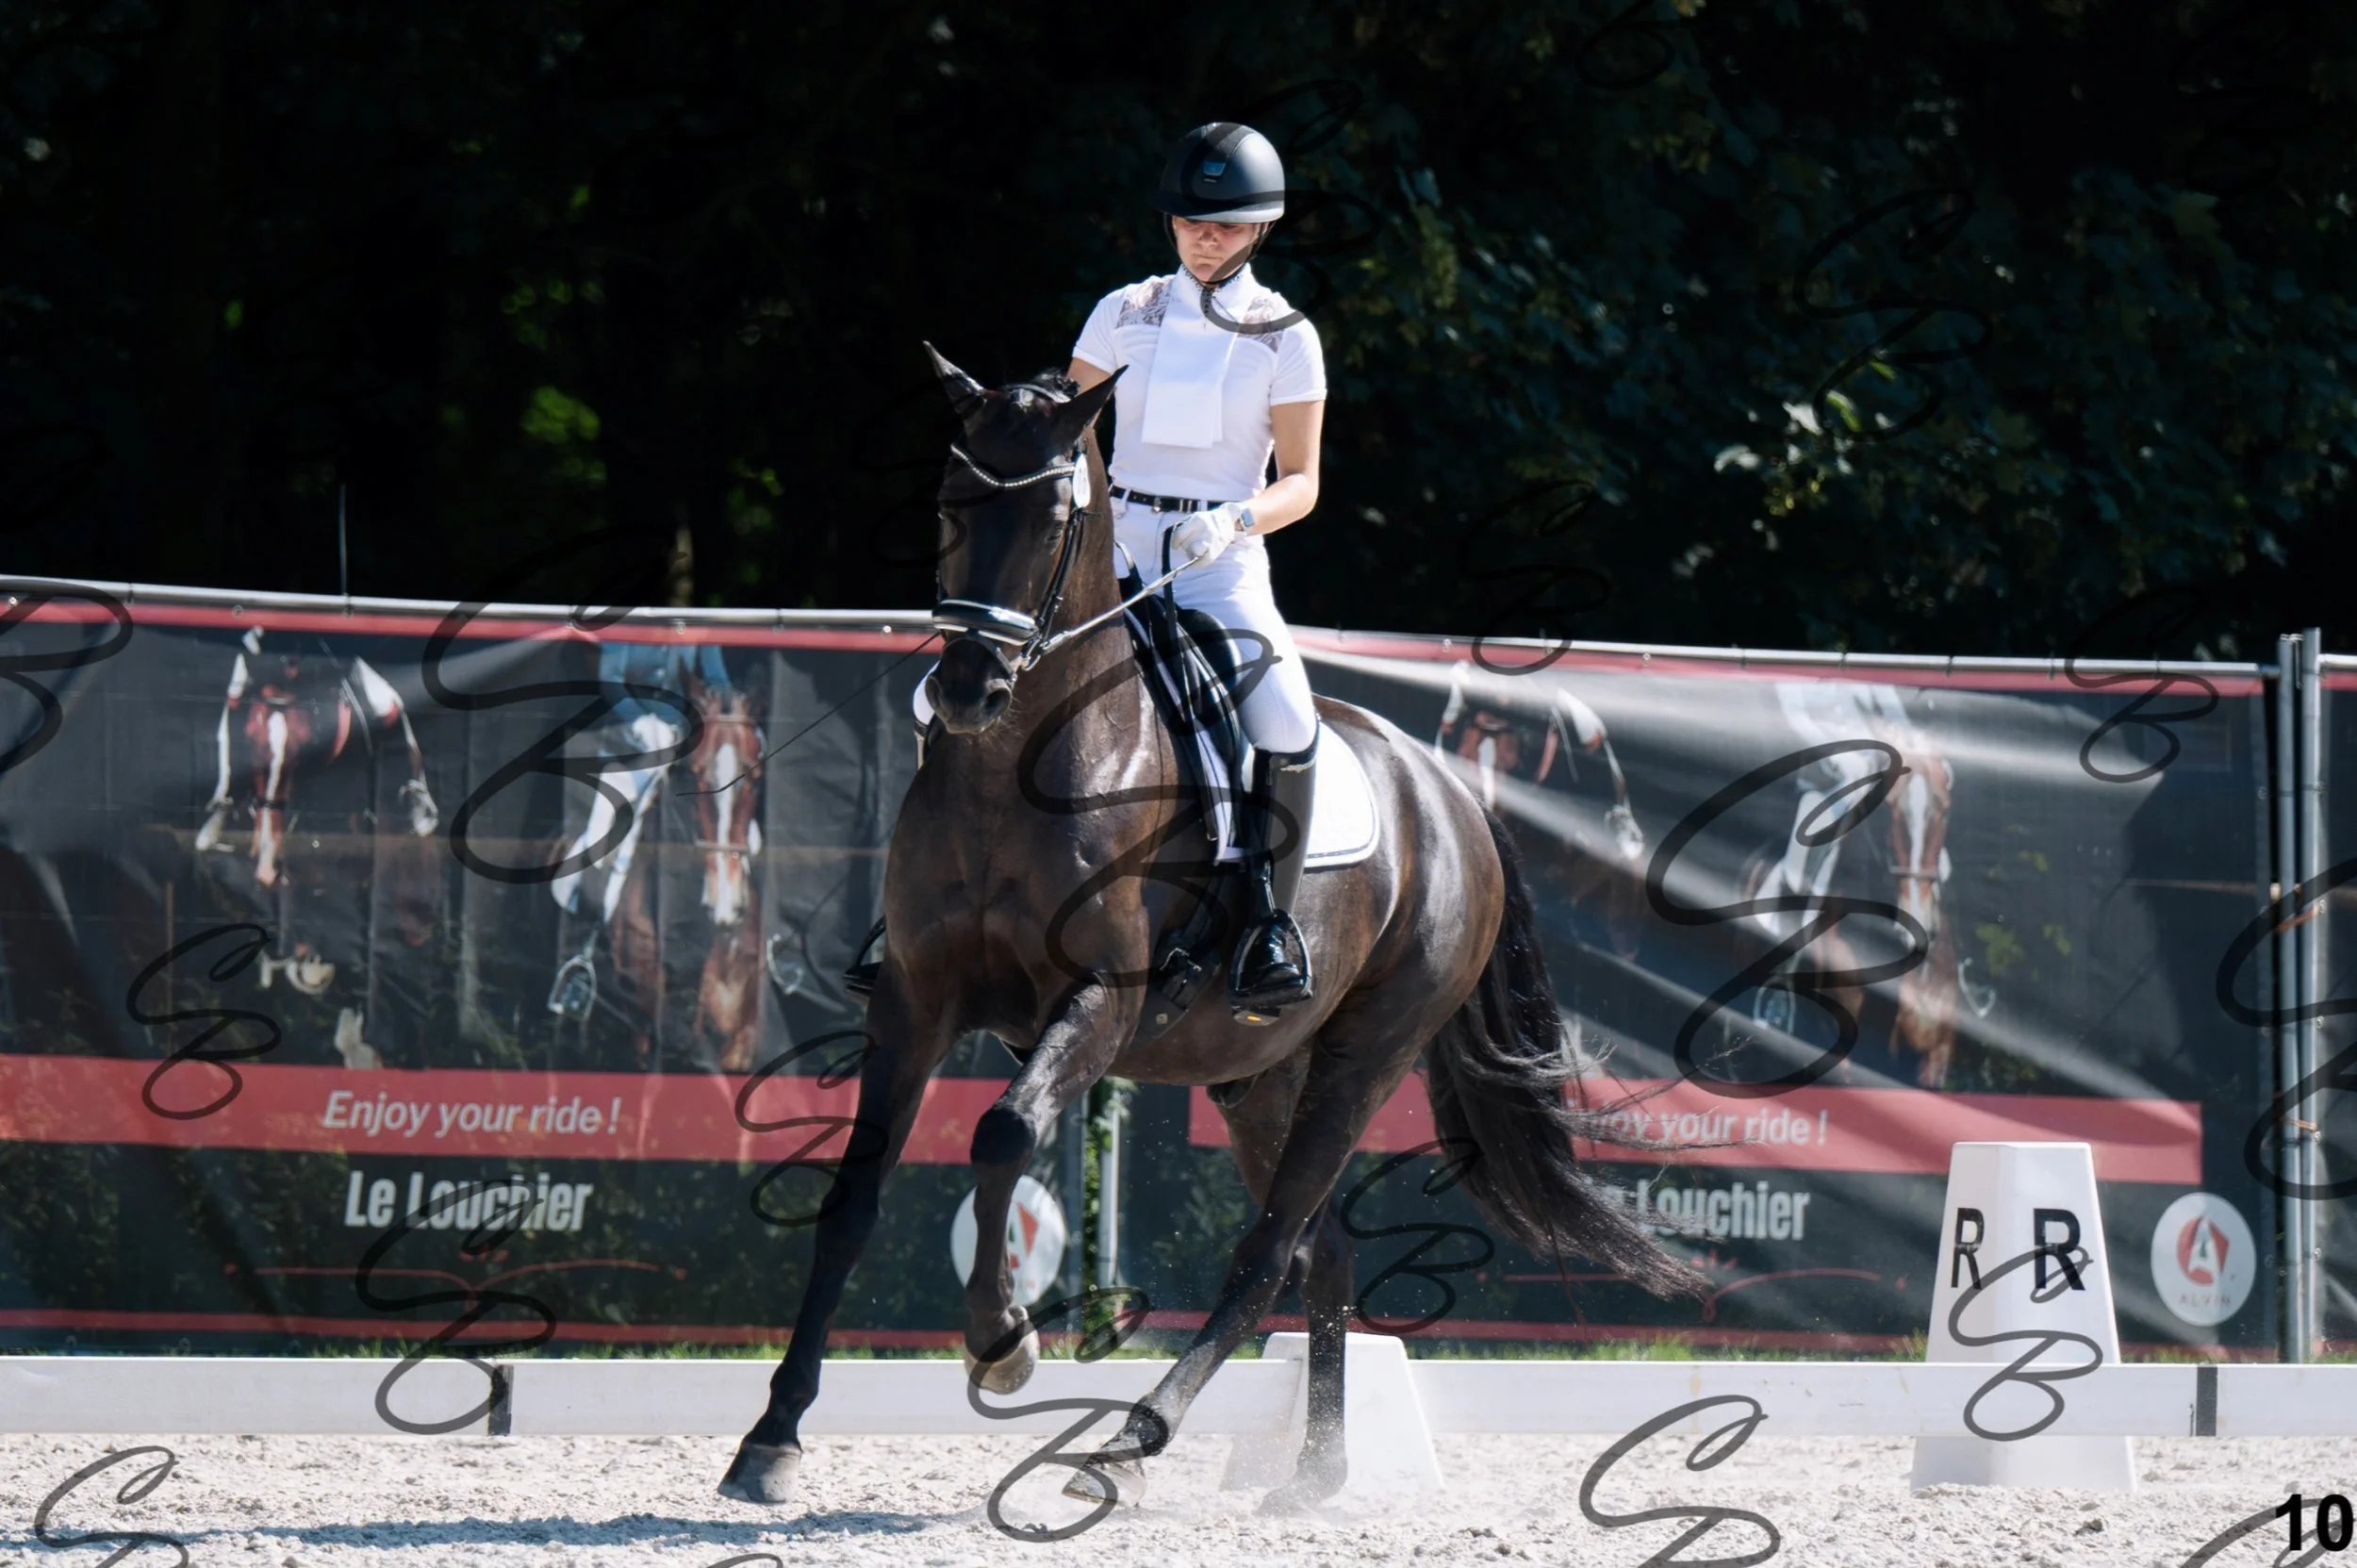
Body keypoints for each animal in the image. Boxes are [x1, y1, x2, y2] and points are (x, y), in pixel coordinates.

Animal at [718, 347, 1699, 1514]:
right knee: (1323, 1252)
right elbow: (852, 1198)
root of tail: (1452, 798)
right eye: (950, 501)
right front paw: (771, 1436)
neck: (1022, 763)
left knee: (1268, 1251)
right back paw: (1313, 1474)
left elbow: (1003, 1132)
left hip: (1366, 1054)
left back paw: (1129, 1443)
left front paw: (1002, 1345)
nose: (968, 690)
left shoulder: (1101, 998)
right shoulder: (914, 997)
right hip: (1253, 1075)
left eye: (1055, 517)